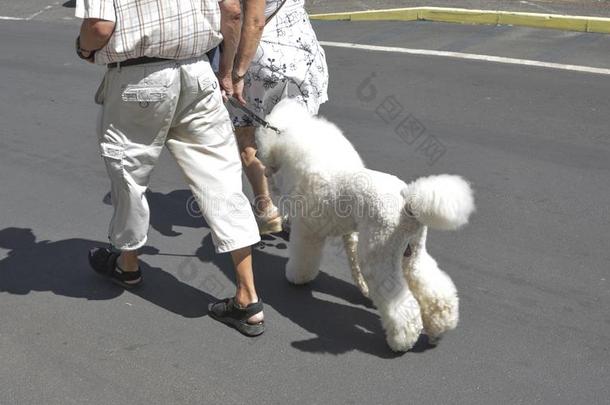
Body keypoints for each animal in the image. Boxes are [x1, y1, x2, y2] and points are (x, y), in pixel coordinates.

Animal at [254, 99, 472, 352]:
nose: (258, 158)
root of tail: (408, 202)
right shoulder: (353, 230)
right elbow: (352, 256)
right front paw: (363, 288)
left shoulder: (308, 229)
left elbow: (304, 256)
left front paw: (297, 277)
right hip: (411, 251)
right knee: (431, 286)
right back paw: (440, 326)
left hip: (381, 250)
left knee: (399, 302)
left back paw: (401, 340)